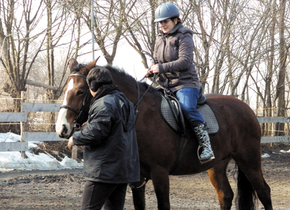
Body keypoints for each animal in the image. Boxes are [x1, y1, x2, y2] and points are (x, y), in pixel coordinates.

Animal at [55, 58, 274, 210]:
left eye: (81, 91)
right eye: (65, 89)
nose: (62, 128)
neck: (139, 114)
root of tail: (247, 108)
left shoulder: (160, 173)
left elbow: (164, 205)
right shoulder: (137, 179)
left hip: (249, 160)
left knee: (264, 192)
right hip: (217, 165)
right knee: (225, 196)